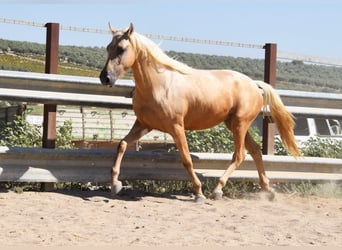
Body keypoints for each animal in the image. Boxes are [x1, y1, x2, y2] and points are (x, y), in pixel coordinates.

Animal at [99, 23, 300, 203]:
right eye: (109, 47)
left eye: (121, 49)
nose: (105, 78)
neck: (158, 85)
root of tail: (254, 84)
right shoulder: (144, 125)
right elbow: (122, 144)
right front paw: (116, 184)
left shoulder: (176, 127)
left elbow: (187, 159)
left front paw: (199, 193)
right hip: (233, 123)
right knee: (256, 151)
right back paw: (269, 190)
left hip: (240, 124)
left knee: (240, 155)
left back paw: (218, 190)